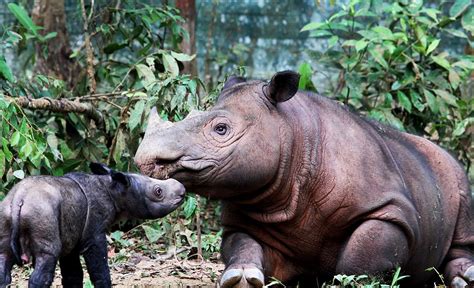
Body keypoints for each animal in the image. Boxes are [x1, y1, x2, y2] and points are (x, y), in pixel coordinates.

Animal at [0, 163, 185, 286]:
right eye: (158, 191)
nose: (182, 189)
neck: (114, 189)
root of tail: (19, 199)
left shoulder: (72, 238)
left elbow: (73, 275)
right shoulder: (93, 234)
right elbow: (99, 270)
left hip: (5, 212)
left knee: (4, 257)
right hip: (41, 213)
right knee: (47, 256)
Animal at [134, 70, 474, 288]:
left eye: (221, 129)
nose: (145, 160)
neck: (293, 137)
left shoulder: (388, 209)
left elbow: (363, 256)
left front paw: (345, 281)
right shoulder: (247, 212)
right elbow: (242, 245)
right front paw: (241, 279)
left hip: (452, 172)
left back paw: (464, 278)